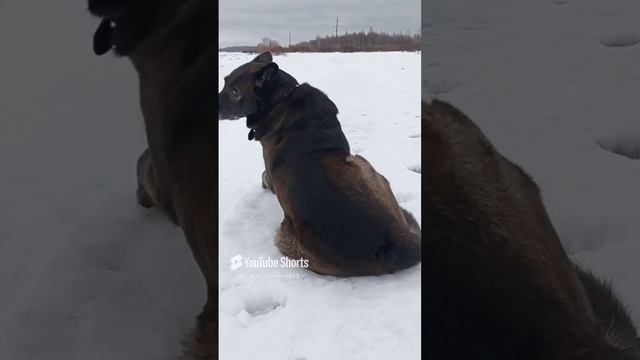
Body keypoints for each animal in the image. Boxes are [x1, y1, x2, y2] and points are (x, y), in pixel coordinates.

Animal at [218, 51, 422, 276]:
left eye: (234, 91)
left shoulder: (270, 178)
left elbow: (263, 176)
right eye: (224, 82)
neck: (280, 98)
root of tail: (396, 243)